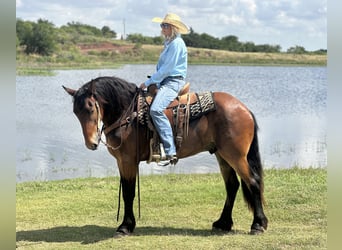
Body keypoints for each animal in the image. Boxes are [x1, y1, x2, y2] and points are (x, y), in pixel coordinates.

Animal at [62, 76, 268, 236]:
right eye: (76, 112)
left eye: (90, 108)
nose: (91, 143)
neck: (128, 114)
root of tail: (243, 108)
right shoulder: (122, 162)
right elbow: (127, 191)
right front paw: (128, 224)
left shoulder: (128, 161)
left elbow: (128, 193)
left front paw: (125, 227)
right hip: (222, 155)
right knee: (232, 185)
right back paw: (223, 223)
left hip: (236, 156)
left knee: (252, 182)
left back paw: (258, 224)